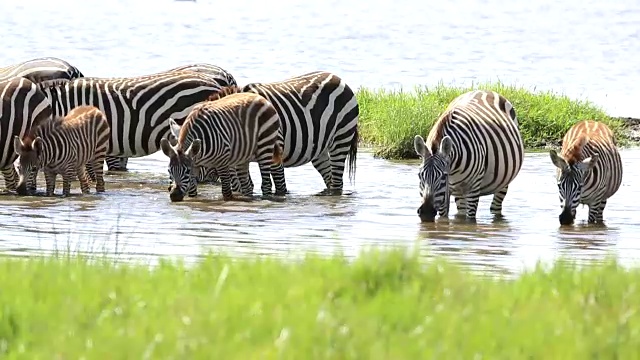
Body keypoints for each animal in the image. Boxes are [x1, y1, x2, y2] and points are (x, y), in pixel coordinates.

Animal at [178, 71, 362, 195]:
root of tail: (338, 78)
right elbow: (243, 186)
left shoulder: (274, 148)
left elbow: (280, 186)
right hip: (319, 150)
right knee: (330, 179)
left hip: (341, 138)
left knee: (337, 182)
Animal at [412, 90, 524, 222]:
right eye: (419, 176)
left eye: (444, 176)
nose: (426, 212)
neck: (453, 169)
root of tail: (484, 90)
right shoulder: (446, 193)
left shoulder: (474, 187)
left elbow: (470, 219)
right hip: (460, 191)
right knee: (461, 210)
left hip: (504, 181)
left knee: (496, 206)